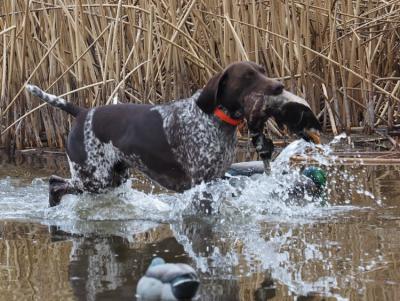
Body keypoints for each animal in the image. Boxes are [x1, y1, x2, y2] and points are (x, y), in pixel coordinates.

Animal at [26, 61, 322, 206]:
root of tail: (82, 112)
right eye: (248, 76)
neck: (214, 119)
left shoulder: (217, 178)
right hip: (94, 178)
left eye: (262, 71)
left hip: (113, 178)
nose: (279, 86)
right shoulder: (202, 183)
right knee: (55, 183)